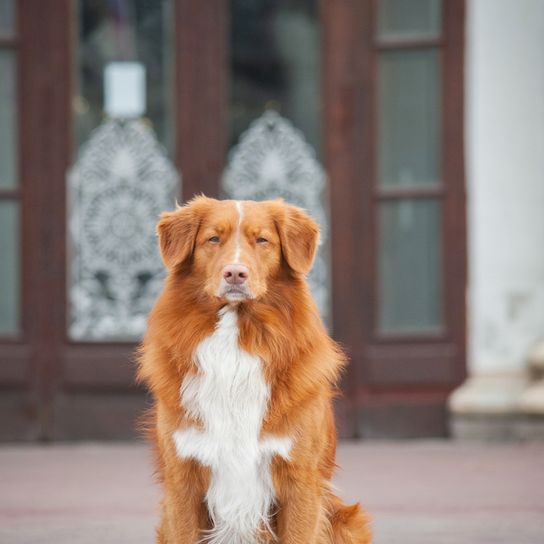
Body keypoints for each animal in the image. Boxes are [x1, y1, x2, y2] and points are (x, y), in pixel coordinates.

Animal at [138, 197, 372, 544]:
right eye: (213, 239)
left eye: (262, 240)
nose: (235, 273)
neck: (236, 337)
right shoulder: (182, 482)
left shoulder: (299, 482)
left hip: (348, 521)